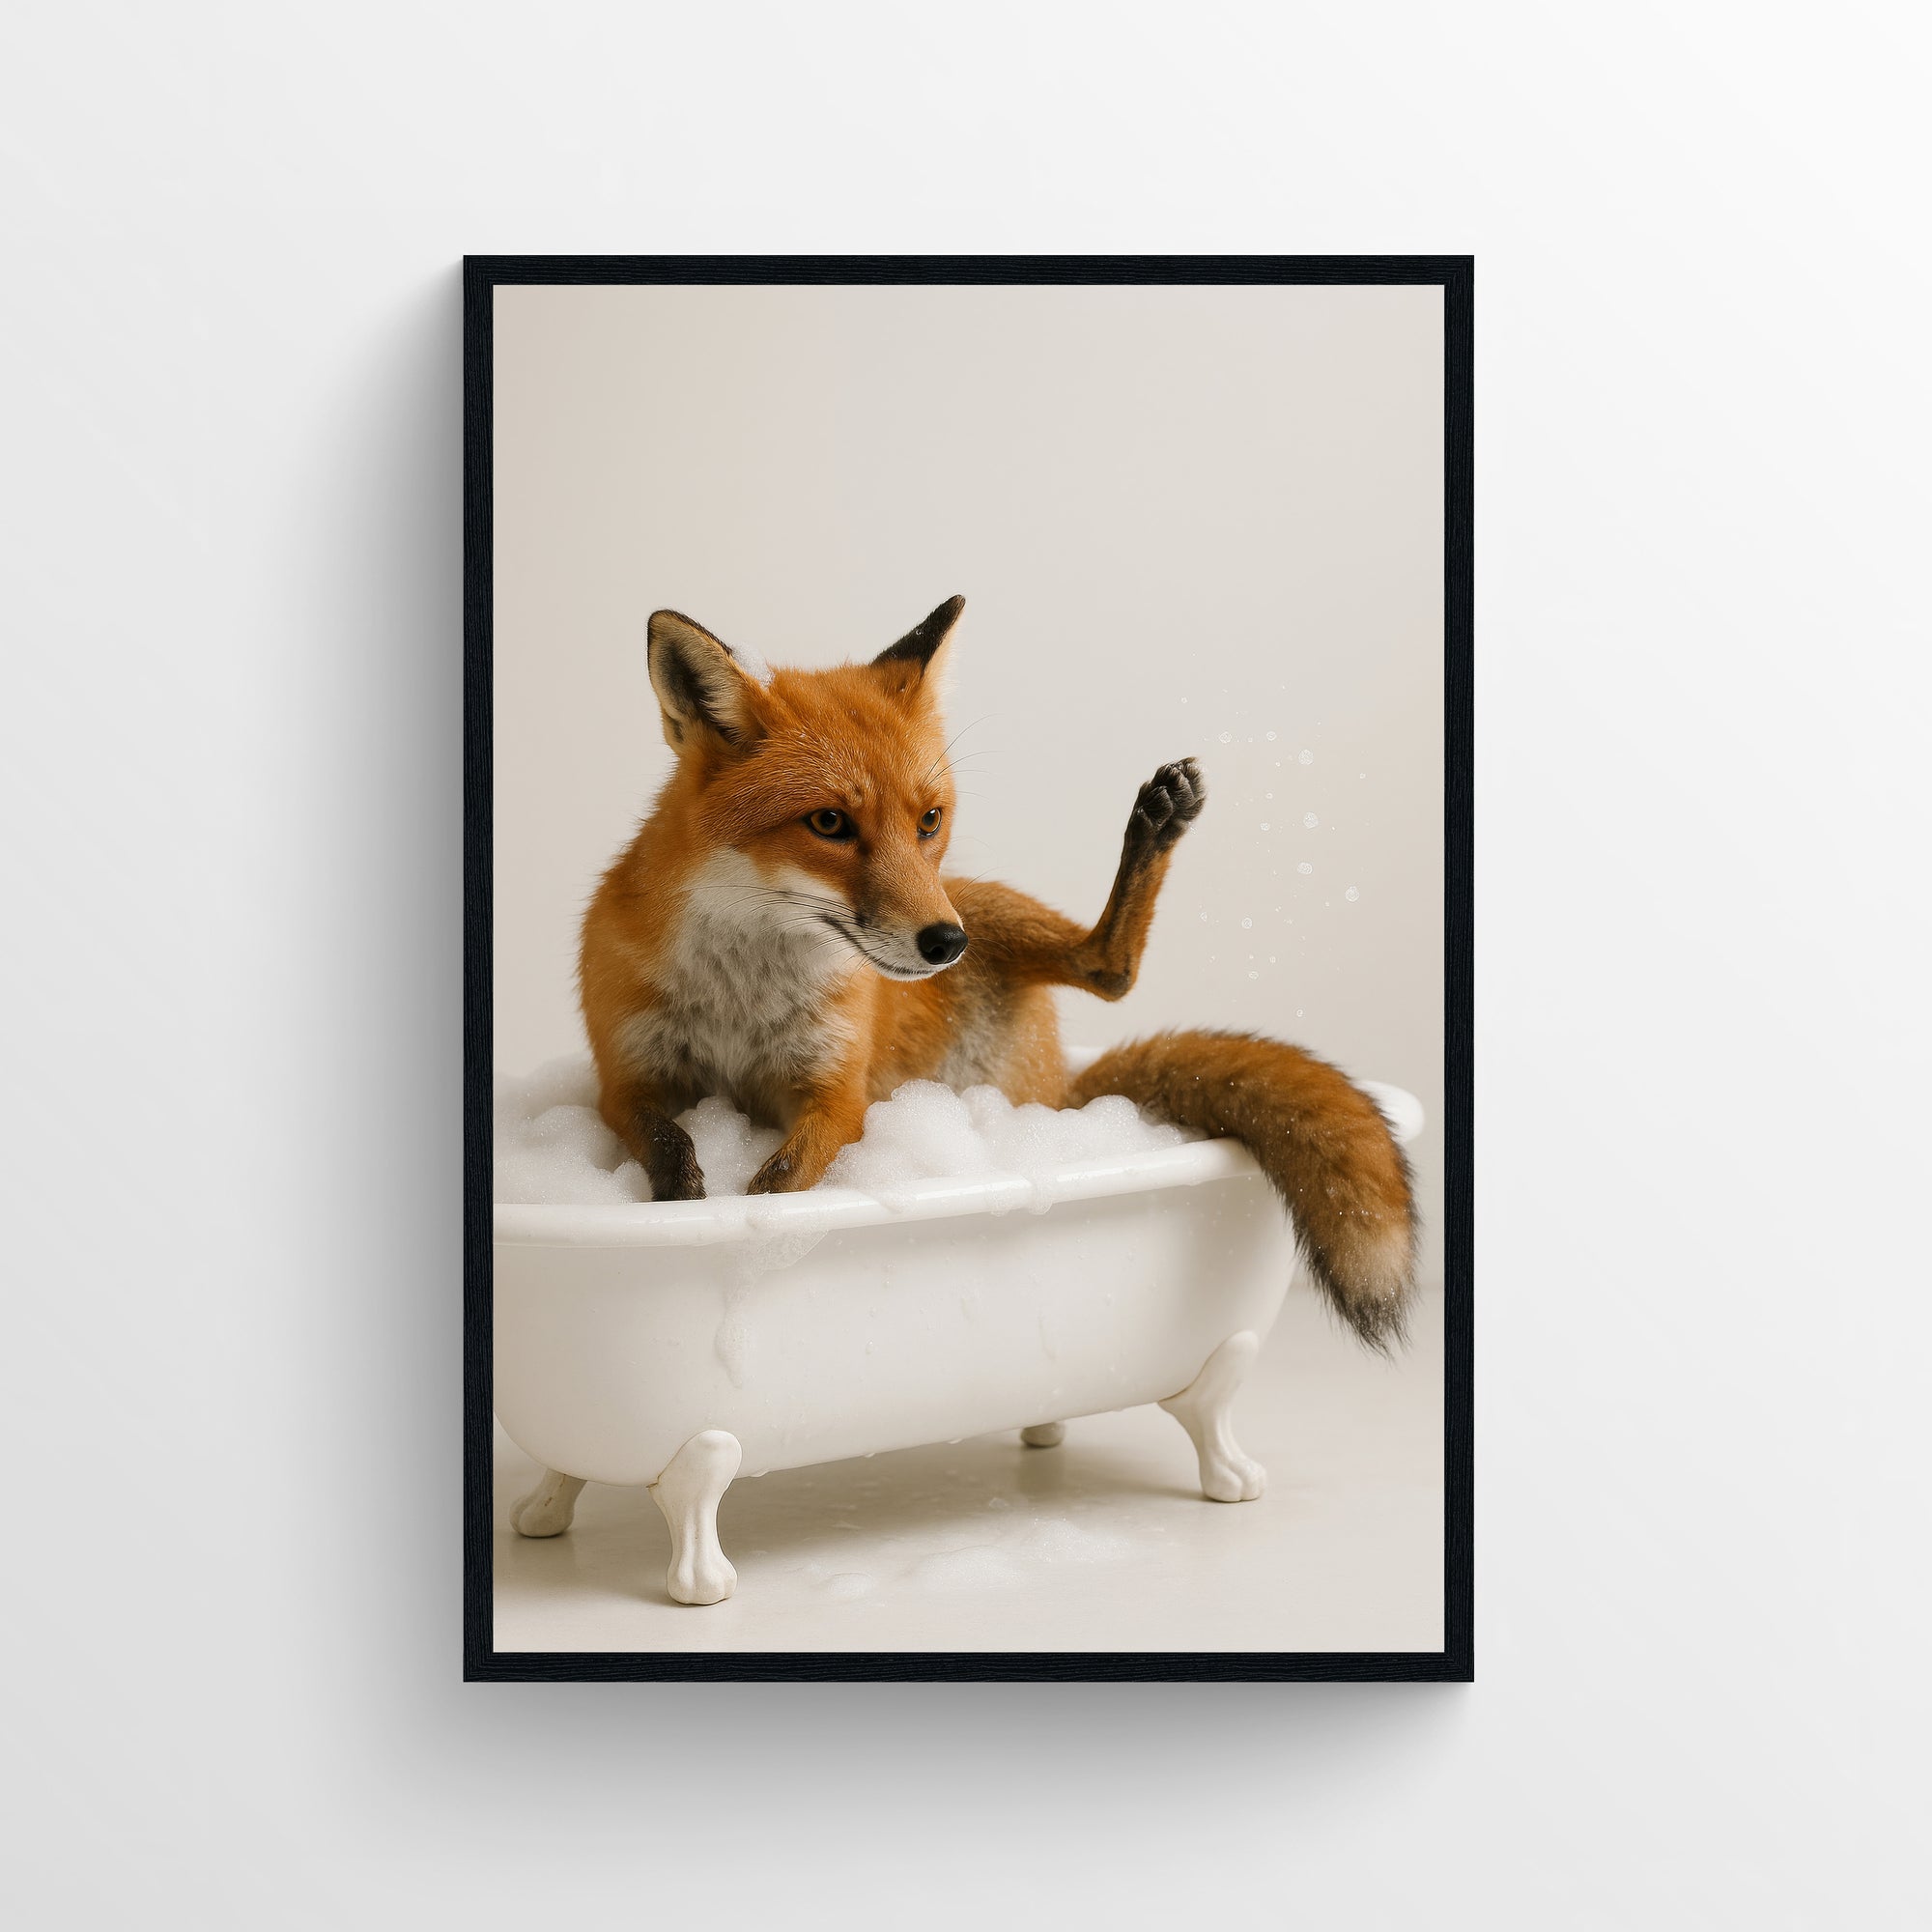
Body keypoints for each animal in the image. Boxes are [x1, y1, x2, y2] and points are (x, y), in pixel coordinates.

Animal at [579, 595, 1419, 1351]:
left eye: (929, 820)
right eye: (829, 823)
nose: (945, 943)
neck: (742, 995)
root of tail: (1054, 1092)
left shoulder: (836, 1092)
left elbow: (781, 1182)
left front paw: (743, 1234)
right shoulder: (626, 1078)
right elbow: (666, 1141)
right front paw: (682, 1209)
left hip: (992, 907)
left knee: (1109, 969)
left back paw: (1153, 827)